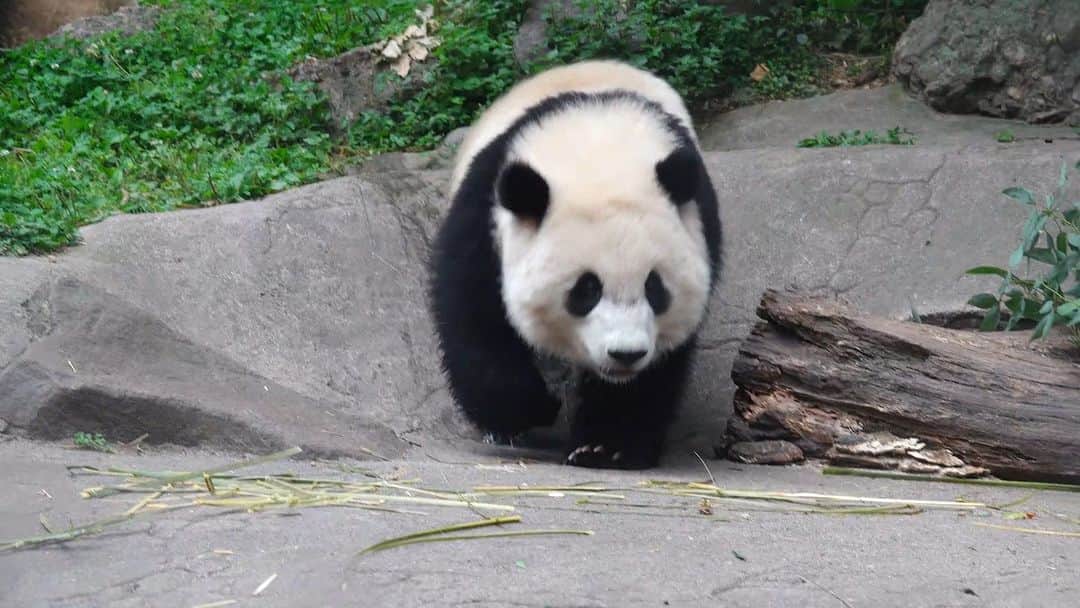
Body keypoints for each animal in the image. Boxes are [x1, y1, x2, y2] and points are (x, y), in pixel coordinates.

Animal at [429, 60, 722, 470]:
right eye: (586, 289)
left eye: (655, 287)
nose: (626, 354)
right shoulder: (484, 215)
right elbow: (475, 317)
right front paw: (528, 409)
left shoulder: (701, 226)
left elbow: (659, 367)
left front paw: (607, 446)